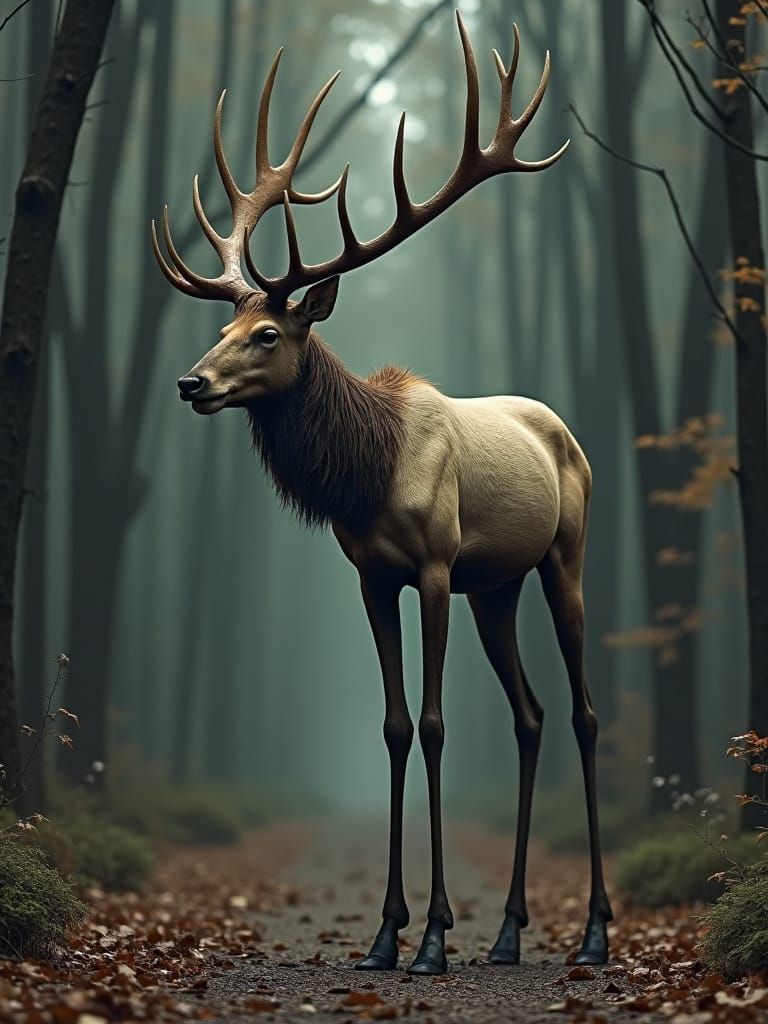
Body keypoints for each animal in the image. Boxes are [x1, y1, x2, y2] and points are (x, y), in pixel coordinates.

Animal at [152, 11, 613, 976]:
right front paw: (384, 934)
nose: (190, 382)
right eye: (223, 326)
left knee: (584, 712)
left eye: (266, 334)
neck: (367, 474)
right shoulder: (371, 576)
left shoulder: (434, 566)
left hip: (564, 557)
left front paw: (433, 934)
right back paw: (508, 933)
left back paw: (593, 931)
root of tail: (567, 432)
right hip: (496, 588)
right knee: (529, 714)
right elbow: (396, 726)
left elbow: (435, 725)